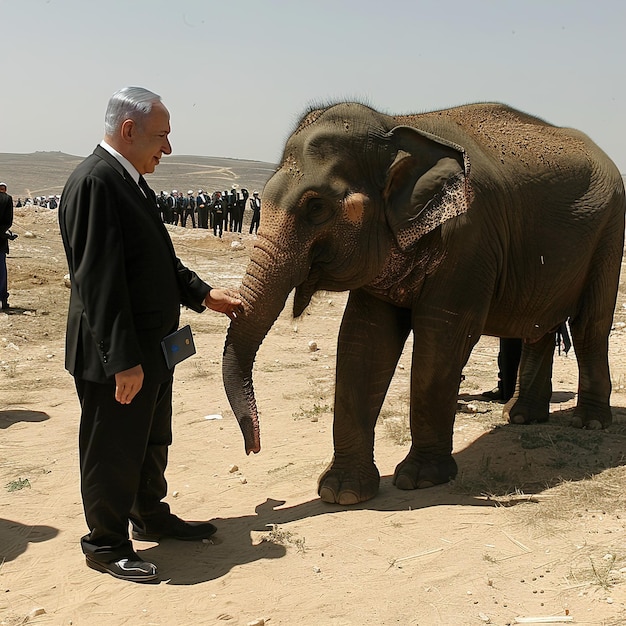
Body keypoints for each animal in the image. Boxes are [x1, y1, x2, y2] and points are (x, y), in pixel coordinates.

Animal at [221, 101, 624, 502]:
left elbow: (442, 336)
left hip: (610, 231)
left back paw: (589, 422)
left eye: (316, 207)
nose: (253, 447)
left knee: (589, 326)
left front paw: (420, 480)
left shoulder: (469, 240)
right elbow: (364, 339)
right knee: (538, 326)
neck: (397, 126)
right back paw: (521, 417)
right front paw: (342, 492)